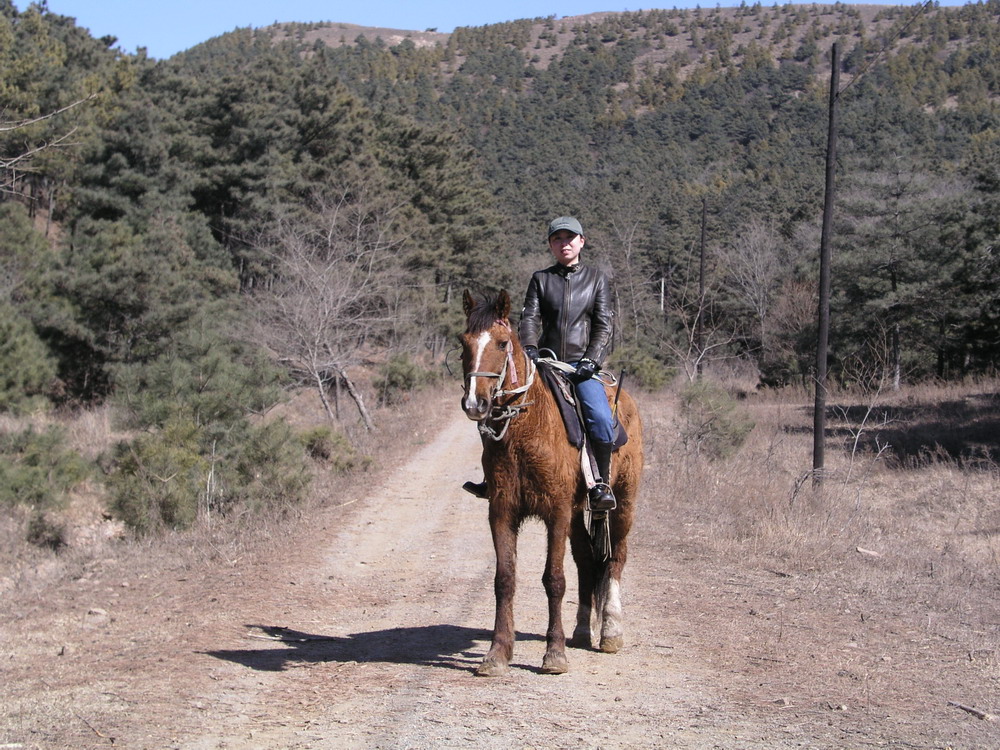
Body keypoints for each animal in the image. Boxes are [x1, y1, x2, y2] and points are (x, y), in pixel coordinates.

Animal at [458, 290, 644, 680]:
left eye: (501, 343)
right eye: (463, 342)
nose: (474, 403)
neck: (526, 428)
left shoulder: (556, 511)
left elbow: (554, 579)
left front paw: (554, 654)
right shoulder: (502, 511)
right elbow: (504, 579)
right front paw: (497, 653)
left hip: (623, 502)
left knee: (615, 559)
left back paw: (611, 631)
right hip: (577, 513)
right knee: (588, 561)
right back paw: (582, 630)